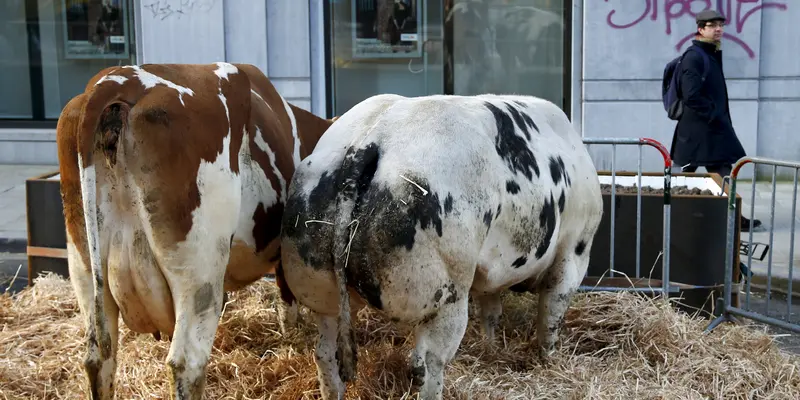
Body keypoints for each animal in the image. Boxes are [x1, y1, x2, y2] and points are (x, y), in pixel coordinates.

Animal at [56, 63, 332, 400]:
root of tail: (118, 79)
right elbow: (287, 295)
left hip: (85, 268)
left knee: (100, 358)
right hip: (199, 270)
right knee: (187, 362)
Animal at [280, 93, 600, 396]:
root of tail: (370, 141)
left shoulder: (490, 274)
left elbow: (491, 313)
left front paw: (491, 348)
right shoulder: (574, 253)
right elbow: (551, 315)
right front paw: (549, 359)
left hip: (320, 290)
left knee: (325, 354)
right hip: (445, 296)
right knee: (427, 363)